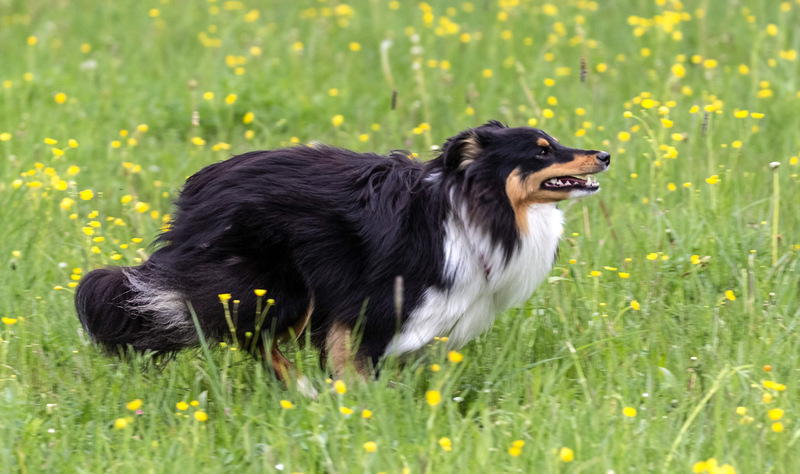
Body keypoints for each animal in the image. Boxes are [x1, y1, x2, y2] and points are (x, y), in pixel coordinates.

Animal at [75, 121, 609, 393]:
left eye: (554, 142)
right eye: (542, 151)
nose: (604, 154)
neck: (476, 204)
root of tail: (196, 192)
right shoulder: (373, 302)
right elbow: (355, 361)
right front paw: (362, 411)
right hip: (278, 282)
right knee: (253, 335)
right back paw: (302, 391)